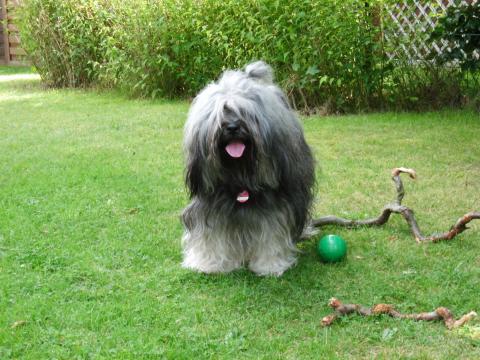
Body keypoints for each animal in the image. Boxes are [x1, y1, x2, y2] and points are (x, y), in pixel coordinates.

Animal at [180, 62, 316, 276]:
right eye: (220, 113)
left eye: (244, 113)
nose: (232, 127)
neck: (240, 175)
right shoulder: (209, 203)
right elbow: (210, 234)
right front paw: (209, 263)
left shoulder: (276, 205)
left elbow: (272, 233)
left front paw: (269, 265)